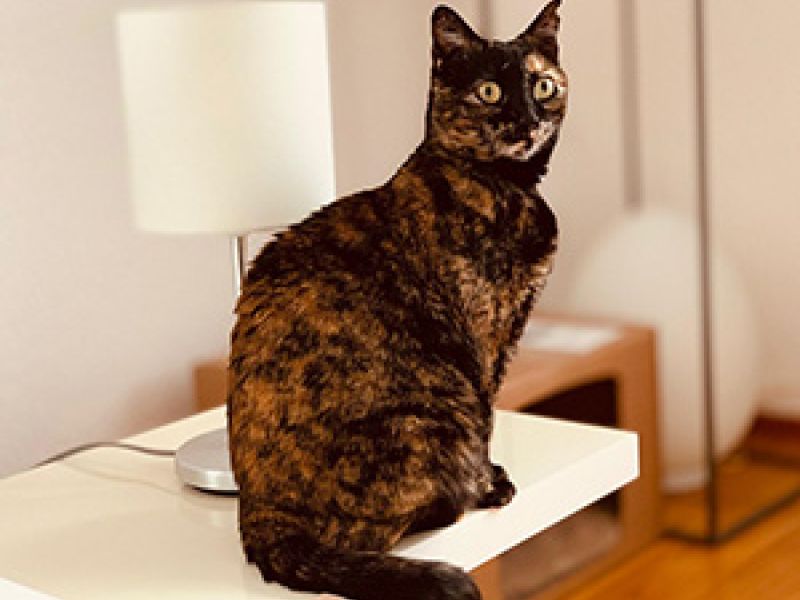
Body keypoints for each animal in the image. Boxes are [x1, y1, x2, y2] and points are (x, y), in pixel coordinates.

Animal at [227, 2, 566, 599]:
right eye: (488, 92)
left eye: (542, 85)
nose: (526, 119)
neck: (507, 189)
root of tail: (259, 515)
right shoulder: (484, 338)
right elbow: (487, 418)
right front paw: (488, 483)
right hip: (427, 412)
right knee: (376, 531)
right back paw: (460, 496)